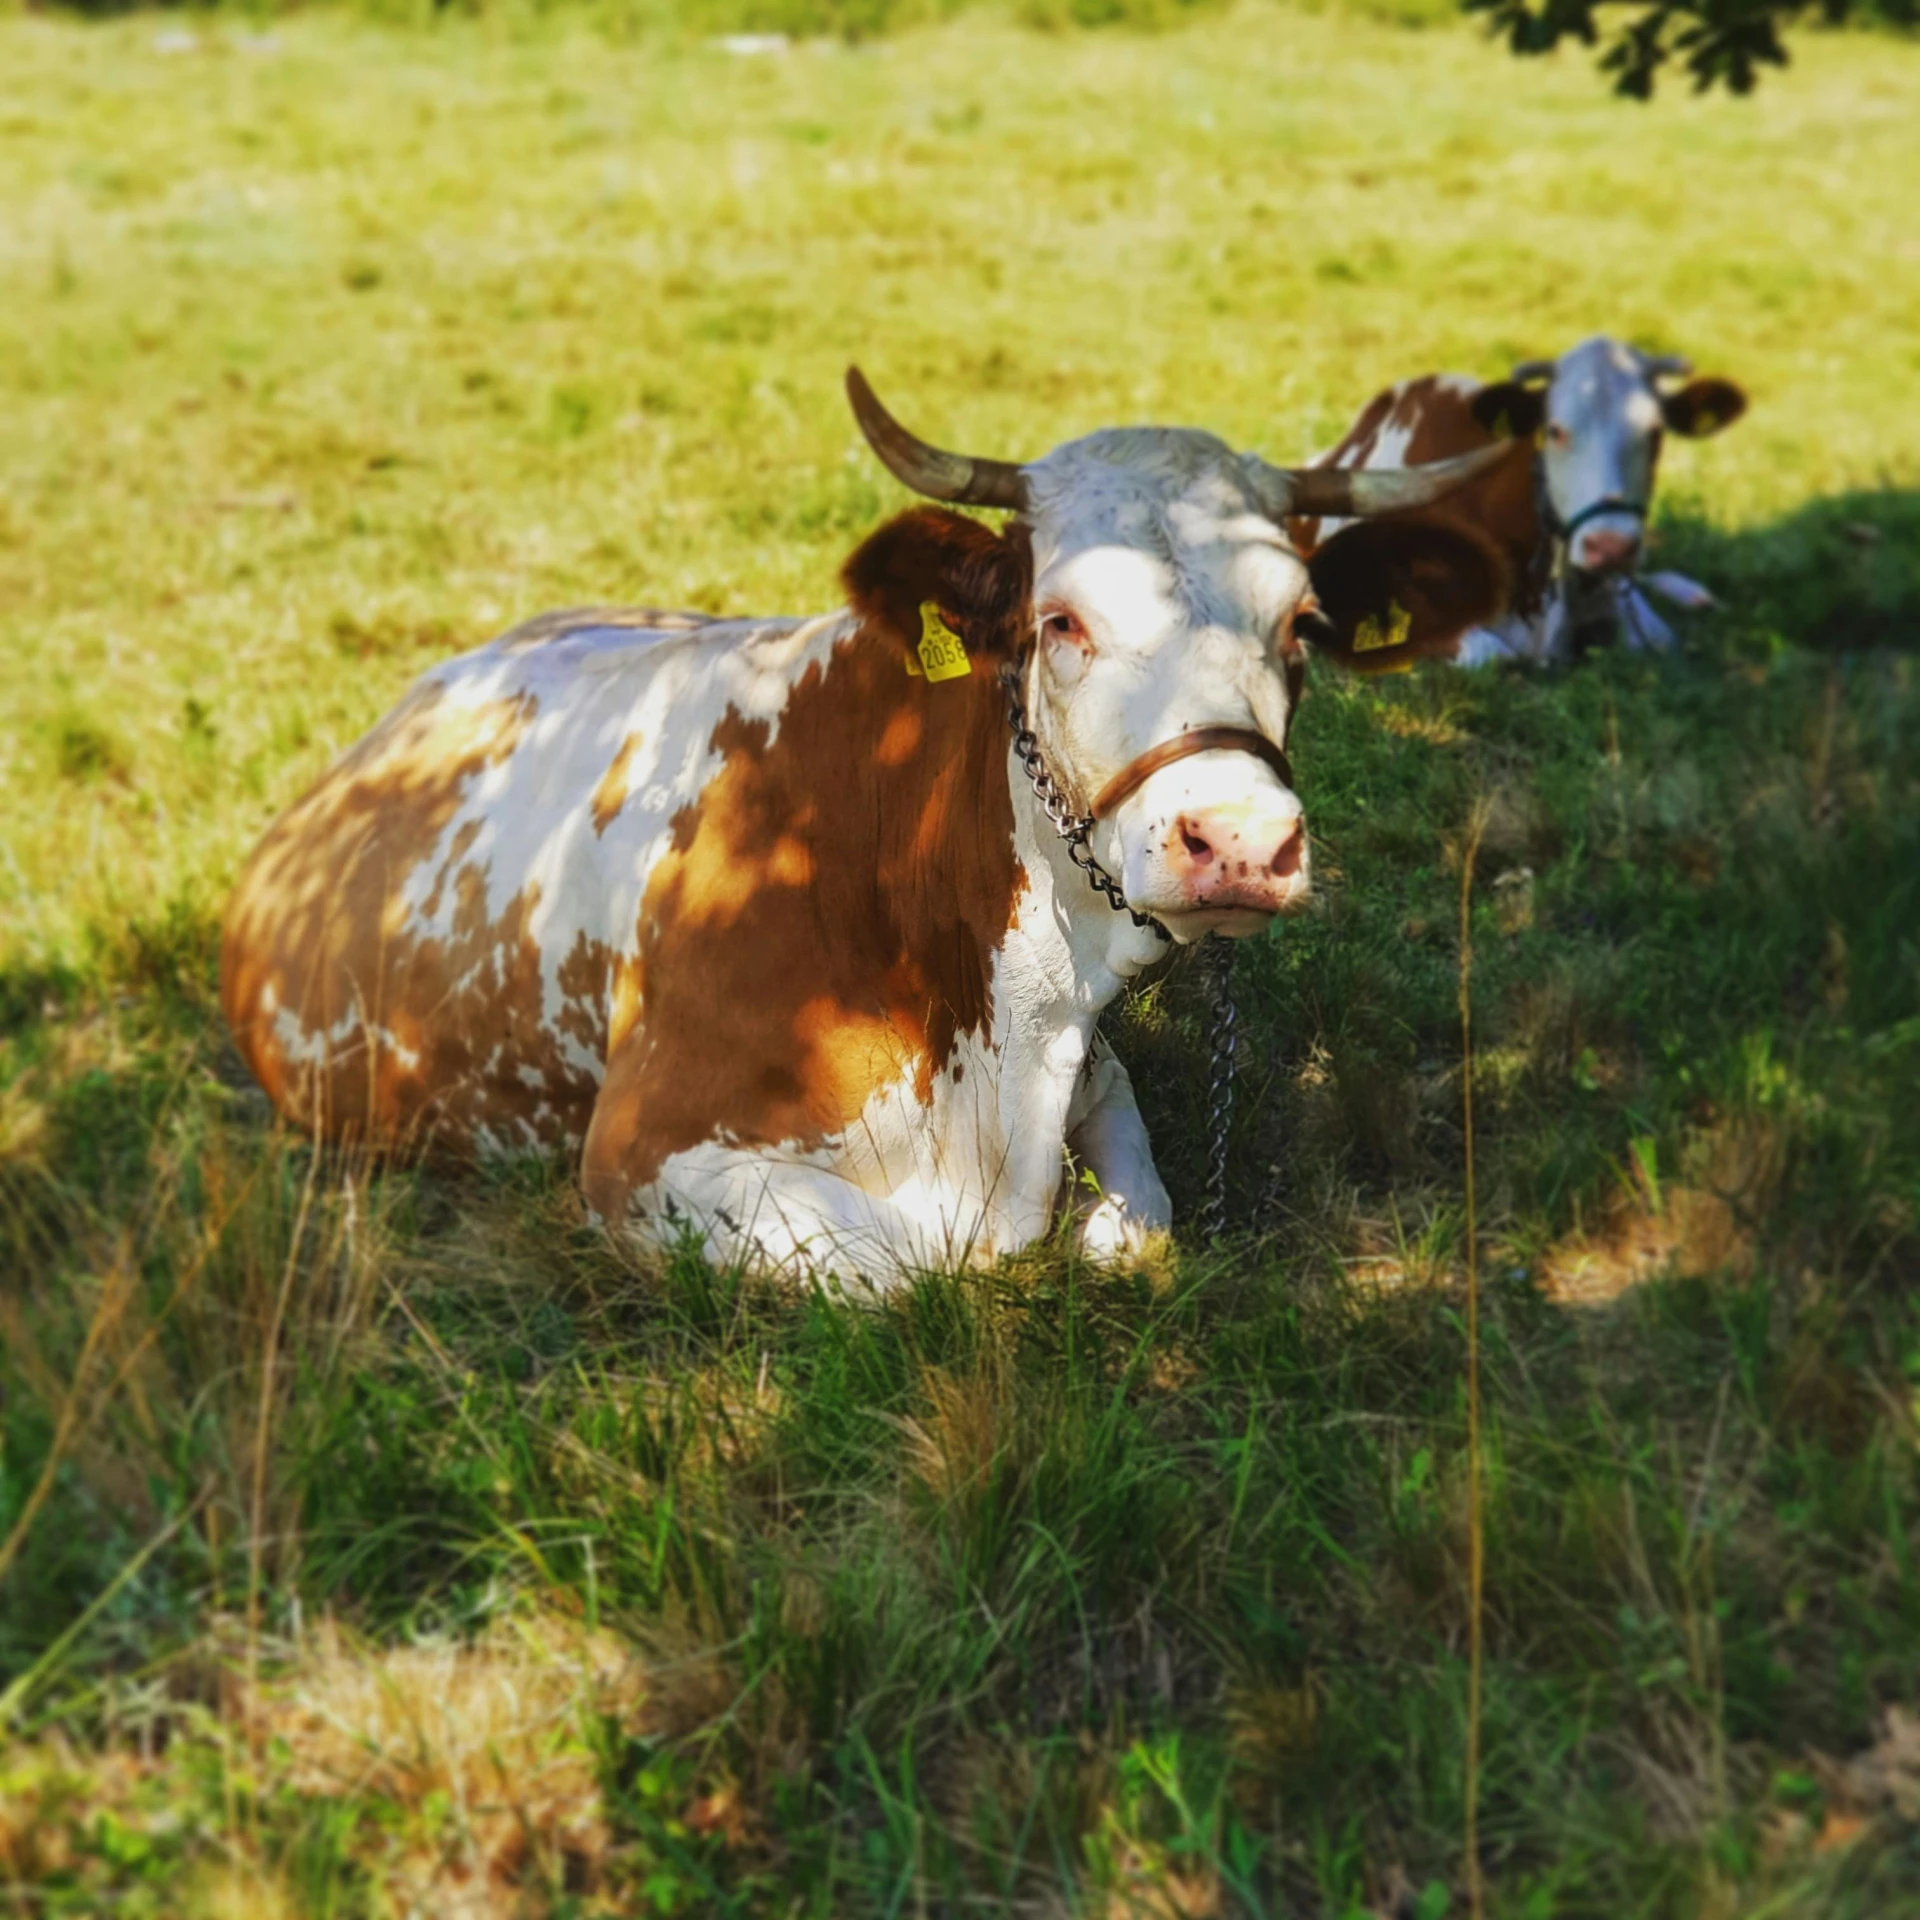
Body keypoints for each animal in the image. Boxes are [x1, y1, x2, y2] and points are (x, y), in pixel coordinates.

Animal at [224, 368, 1505, 1282]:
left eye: (1300, 625)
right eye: (1060, 621)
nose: (1237, 839)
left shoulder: (1091, 1075)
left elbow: (1139, 1223)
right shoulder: (636, 1152)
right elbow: (914, 1264)